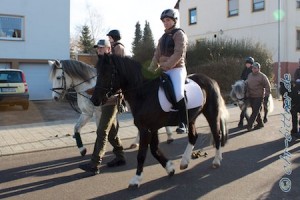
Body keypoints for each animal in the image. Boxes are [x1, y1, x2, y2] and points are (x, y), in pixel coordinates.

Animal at [91, 54, 230, 188]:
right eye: (97, 72)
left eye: (107, 73)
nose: (94, 100)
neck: (144, 93)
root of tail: (210, 80)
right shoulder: (152, 128)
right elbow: (154, 149)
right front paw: (170, 168)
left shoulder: (145, 129)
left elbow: (142, 155)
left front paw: (136, 179)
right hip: (191, 118)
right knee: (193, 137)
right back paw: (184, 162)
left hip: (211, 114)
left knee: (217, 135)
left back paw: (216, 161)